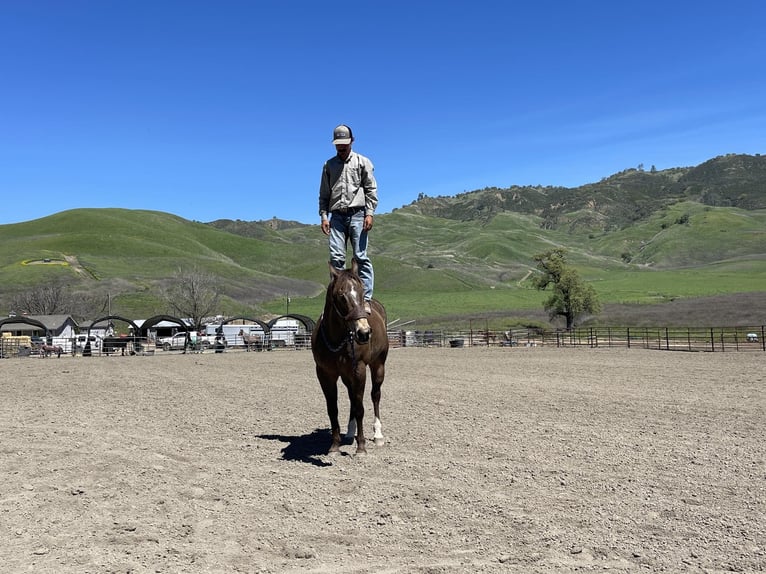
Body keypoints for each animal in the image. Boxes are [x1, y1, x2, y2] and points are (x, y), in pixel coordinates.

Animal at [310, 260, 390, 454]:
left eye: (362, 292)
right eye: (340, 294)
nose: (364, 333)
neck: (337, 339)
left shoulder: (359, 369)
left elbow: (360, 408)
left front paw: (361, 447)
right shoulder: (325, 373)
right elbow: (333, 409)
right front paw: (334, 446)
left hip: (378, 365)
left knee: (375, 395)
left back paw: (378, 435)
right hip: (347, 375)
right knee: (352, 398)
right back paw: (350, 431)